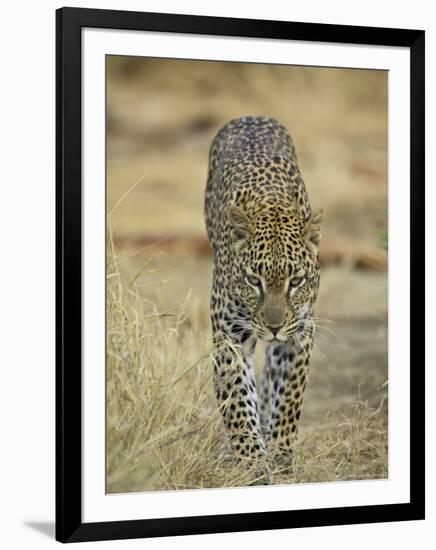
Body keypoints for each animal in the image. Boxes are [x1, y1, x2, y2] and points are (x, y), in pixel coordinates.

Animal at [204, 114, 324, 472]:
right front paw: (254, 465)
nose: (273, 327)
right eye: (253, 281)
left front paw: (281, 454)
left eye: (295, 281)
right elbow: (238, 406)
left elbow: (289, 398)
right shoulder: (228, 338)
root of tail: (250, 117)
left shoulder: (300, 334)